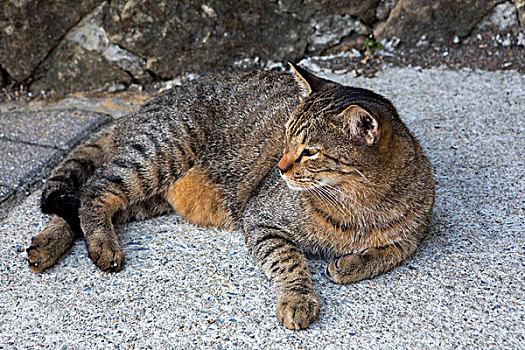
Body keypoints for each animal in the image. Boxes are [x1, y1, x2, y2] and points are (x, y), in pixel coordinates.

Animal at [25, 63, 434, 330]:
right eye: (286, 137)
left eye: (310, 152)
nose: (280, 167)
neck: (358, 204)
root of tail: (132, 112)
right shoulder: (261, 219)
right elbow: (289, 262)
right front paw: (299, 298)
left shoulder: (416, 231)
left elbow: (393, 250)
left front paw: (351, 264)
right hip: (157, 155)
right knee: (93, 191)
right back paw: (100, 245)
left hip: (148, 195)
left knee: (76, 206)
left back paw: (45, 245)